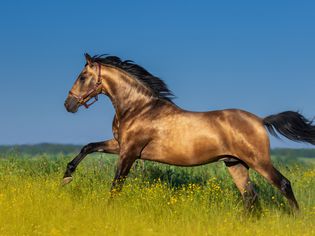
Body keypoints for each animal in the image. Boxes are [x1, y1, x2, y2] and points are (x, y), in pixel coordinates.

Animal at [64, 54, 315, 212]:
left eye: (82, 77)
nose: (68, 105)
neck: (139, 108)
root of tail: (260, 121)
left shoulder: (130, 151)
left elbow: (116, 185)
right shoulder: (120, 145)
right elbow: (88, 146)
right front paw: (67, 177)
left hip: (258, 161)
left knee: (283, 184)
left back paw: (297, 219)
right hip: (235, 163)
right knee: (250, 197)